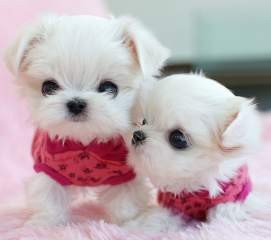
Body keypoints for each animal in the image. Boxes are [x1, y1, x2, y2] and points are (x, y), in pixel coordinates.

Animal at [4, 14, 170, 225]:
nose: (76, 103)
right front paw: (44, 223)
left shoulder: (124, 175)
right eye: (48, 87)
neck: (85, 142)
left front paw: (127, 223)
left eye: (109, 88)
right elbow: (49, 196)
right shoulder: (47, 167)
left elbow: (125, 202)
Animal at [126, 74, 264, 232]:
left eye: (178, 138)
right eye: (144, 121)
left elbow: (222, 218)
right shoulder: (171, 205)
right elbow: (157, 218)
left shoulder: (230, 201)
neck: (192, 184)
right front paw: (137, 225)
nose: (137, 135)